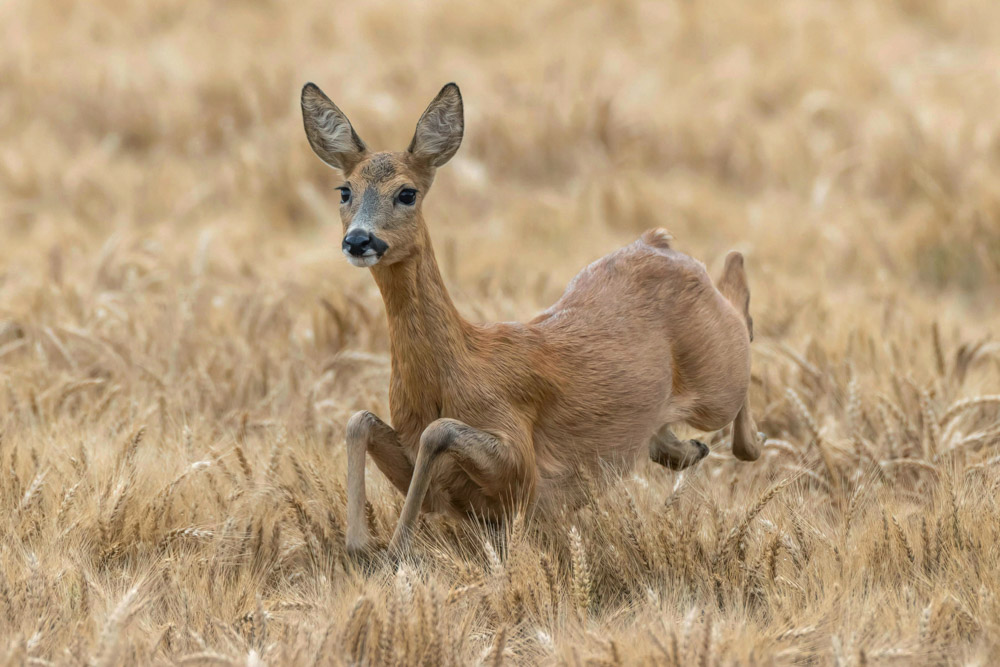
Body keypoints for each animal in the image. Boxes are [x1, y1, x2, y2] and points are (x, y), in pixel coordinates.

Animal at [300, 82, 763, 557]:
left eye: (407, 193)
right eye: (344, 190)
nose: (359, 239)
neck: (458, 367)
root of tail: (658, 241)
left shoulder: (519, 464)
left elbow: (439, 431)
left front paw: (395, 550)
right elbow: (360, 421)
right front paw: (362, 545)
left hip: (716, 379)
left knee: (740, 306)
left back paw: (748, 439)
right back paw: (687, 450)